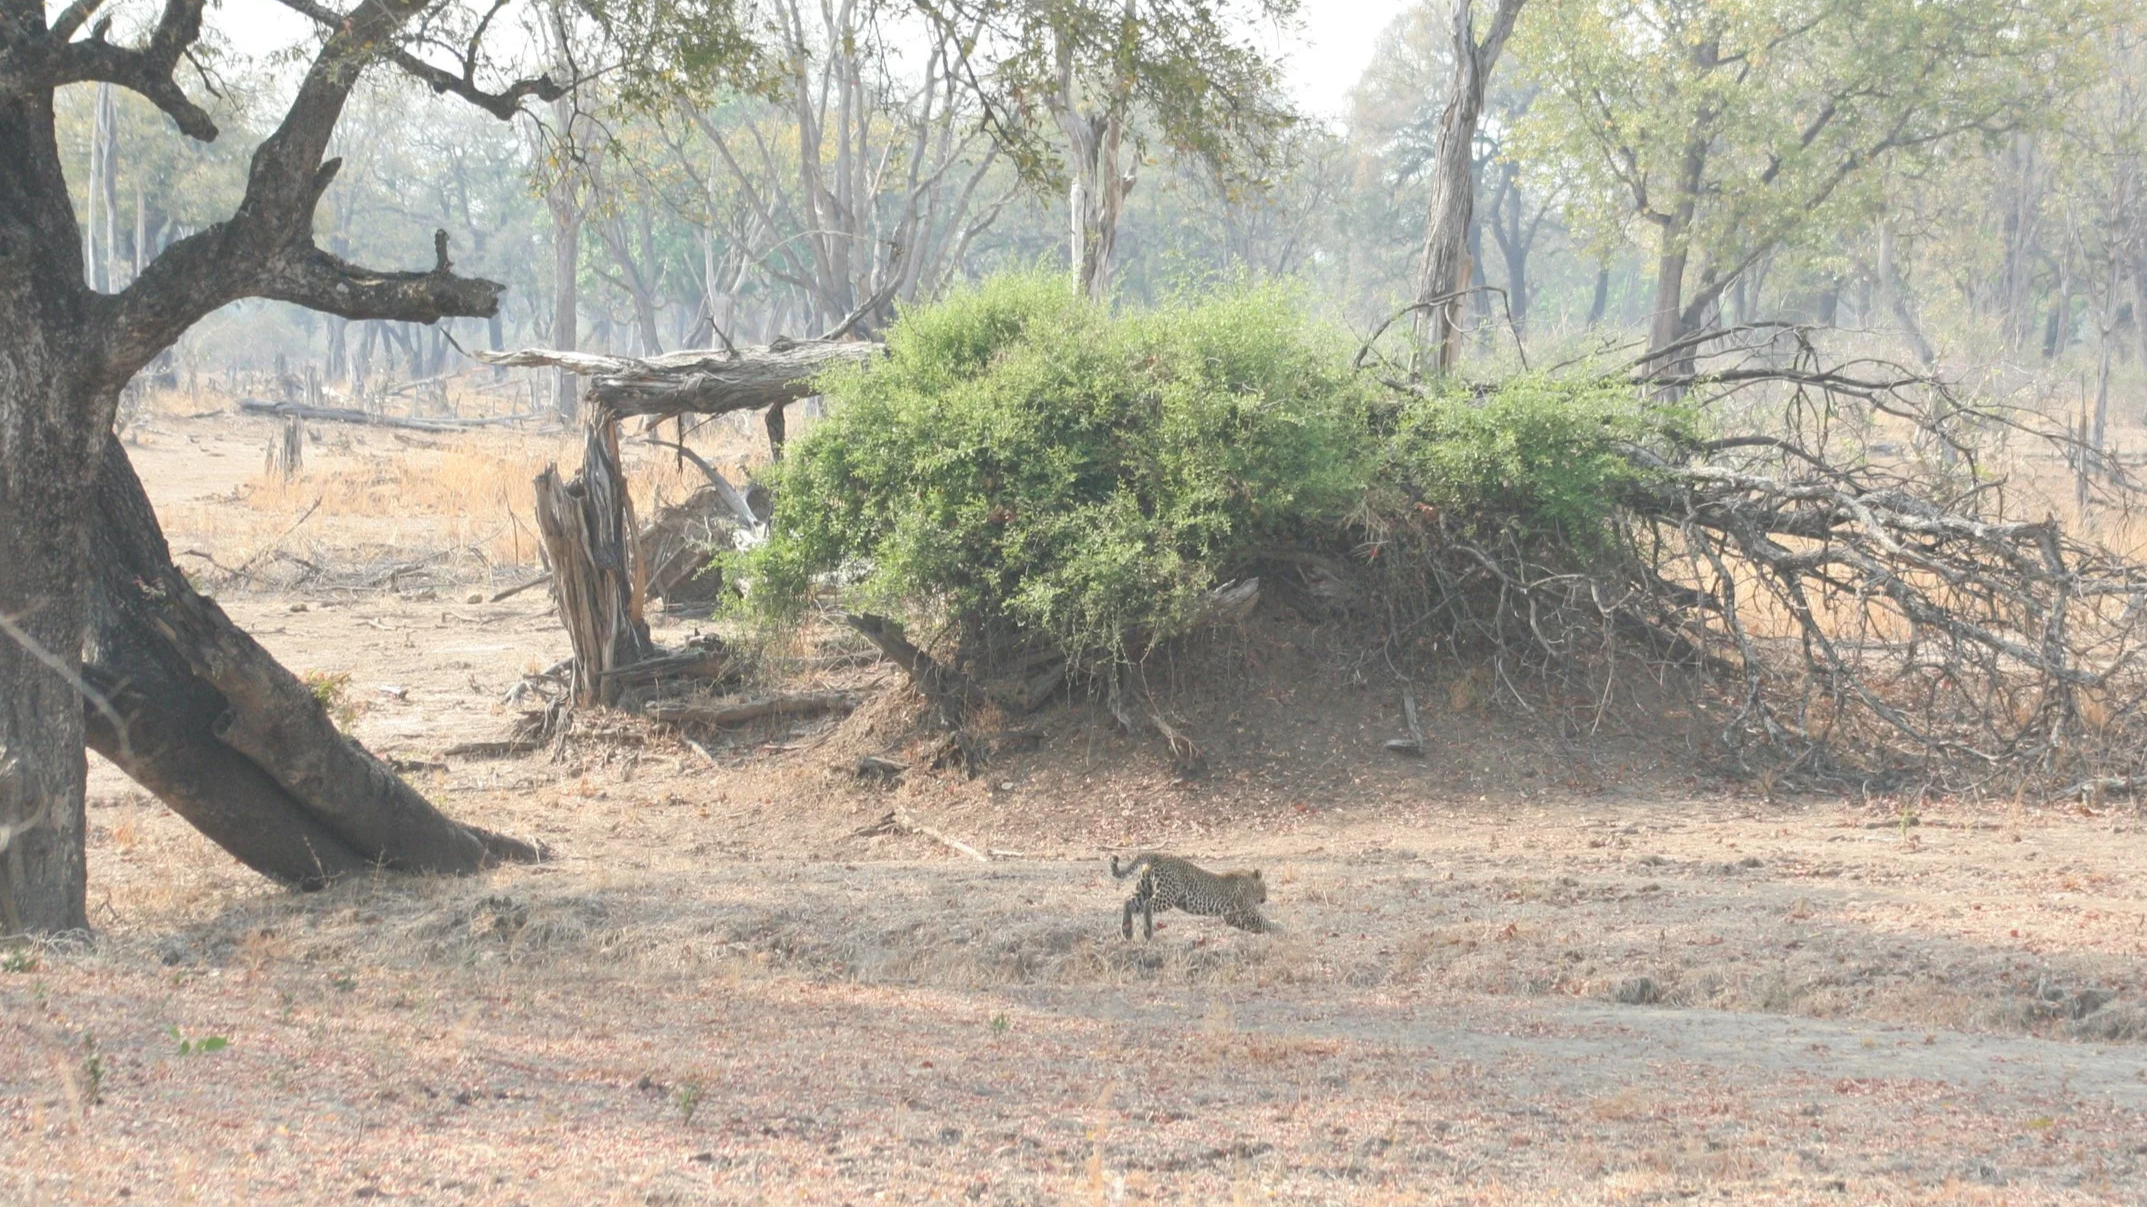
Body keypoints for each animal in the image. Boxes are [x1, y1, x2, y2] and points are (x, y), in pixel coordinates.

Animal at [1110, 853, 1269, 940]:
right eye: (1265, 887)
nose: (1265, 899)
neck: (1249, 880)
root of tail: (1156, 855)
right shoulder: (1247, 910)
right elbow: (1264, 921)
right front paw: (1275, 928)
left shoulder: (1232, 915)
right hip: (1168, 894)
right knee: (1147, 904)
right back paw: (1147, 931)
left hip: (1144, 888)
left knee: (1128, 902)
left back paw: (1126, 931)